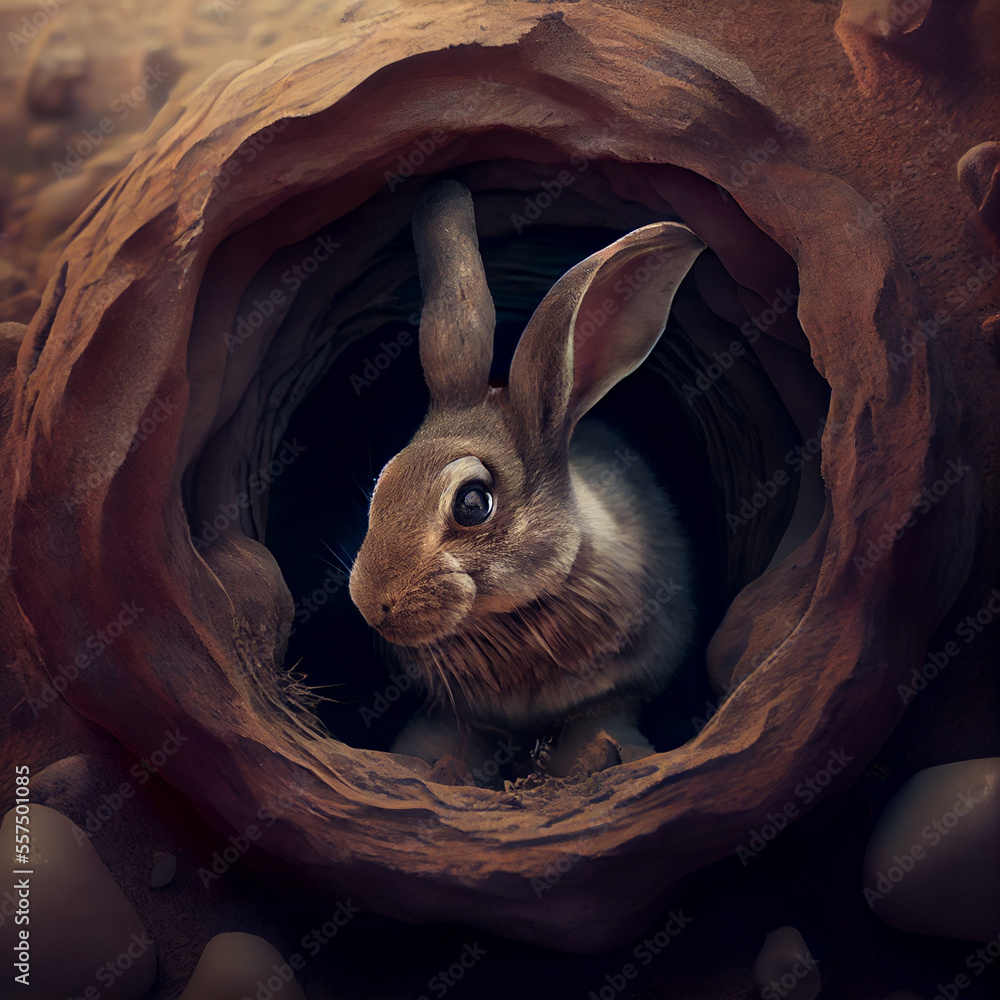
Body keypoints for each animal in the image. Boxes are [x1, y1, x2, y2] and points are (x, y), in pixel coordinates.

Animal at [348, 179, 704, 777]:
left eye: (472, 503)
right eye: (385, 479)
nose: (373, 605)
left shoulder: (623, 684)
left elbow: (601, 715)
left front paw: (592, 758)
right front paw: (447, 766)